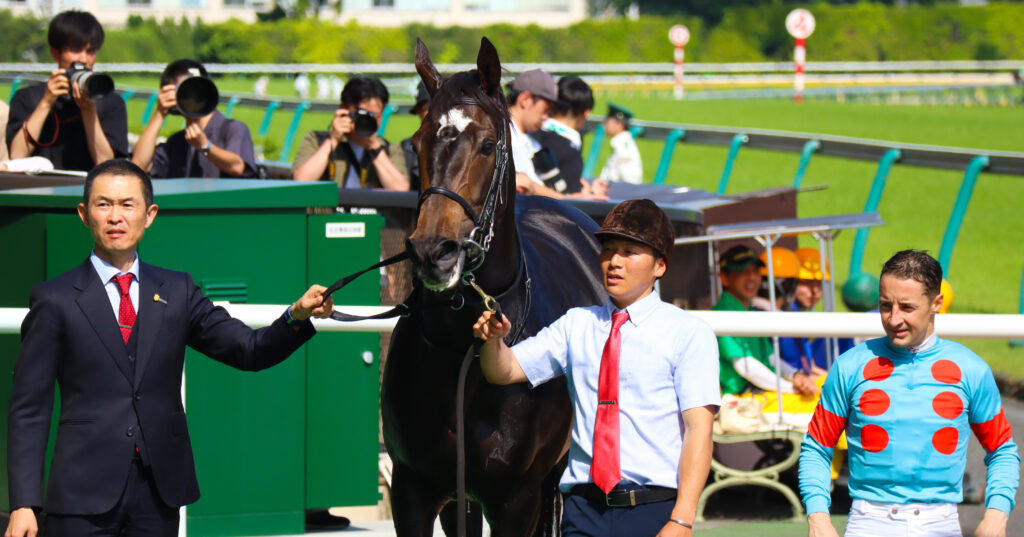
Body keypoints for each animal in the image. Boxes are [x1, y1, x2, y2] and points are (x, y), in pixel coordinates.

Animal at [380, 37, 607, 537]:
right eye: (418, 142)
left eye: (487, 145)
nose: (433, 251)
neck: (462, 349)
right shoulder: (413, 487)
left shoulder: (516, 498)